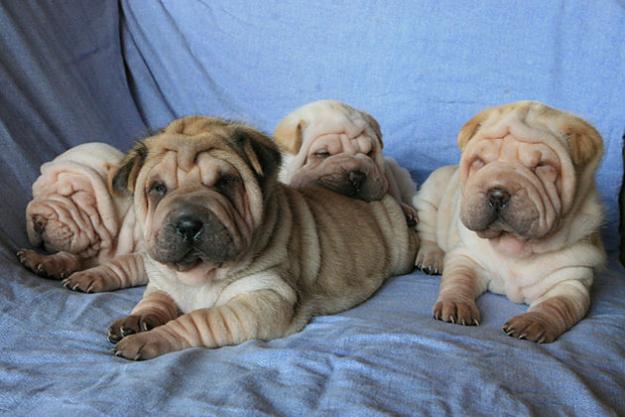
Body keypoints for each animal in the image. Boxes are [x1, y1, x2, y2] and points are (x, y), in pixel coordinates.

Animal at [16, 141, 145, 290]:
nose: (38, 221)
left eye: (75, 194)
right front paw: (45, 260)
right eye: (36, 194)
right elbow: (68, 255)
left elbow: (126, 262)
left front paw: (92, 275)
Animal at [106, 115, 420, 360]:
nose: (187, 223)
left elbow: (197, 319)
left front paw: (145, 339)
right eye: (157, 189)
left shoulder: (261, 300)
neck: (197, 276)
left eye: (225, 182)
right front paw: (135, 321)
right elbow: (153, 301)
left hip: (400, 248)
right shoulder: (162, 283)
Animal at [414, 100, 604, 342]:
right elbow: (458, 281)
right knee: (428, 232)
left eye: (542, 166)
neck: (514, 247)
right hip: (430, 195)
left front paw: (532, 322)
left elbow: (556, 305)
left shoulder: (570, 282)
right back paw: (432, 257)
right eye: (480, 162)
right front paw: (455, 305)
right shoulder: (467, 257)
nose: (497, 194)